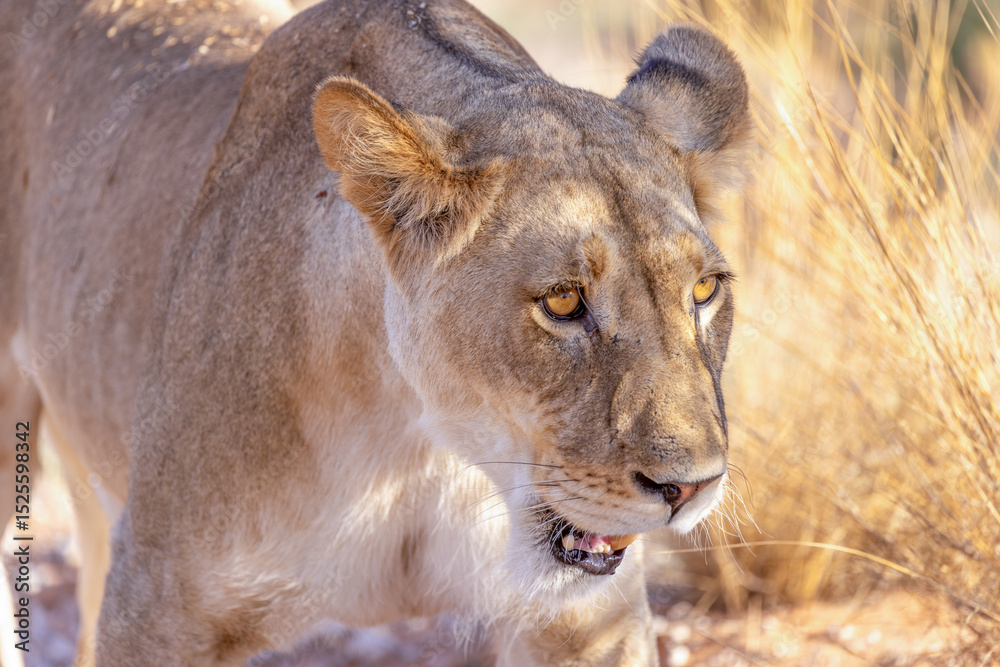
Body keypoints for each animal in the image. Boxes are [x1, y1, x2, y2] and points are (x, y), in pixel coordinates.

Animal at [0, 0, 750, 664]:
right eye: (564, 301)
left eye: (704, 290)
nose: (691, 488)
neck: (420, 439)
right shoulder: (156, 604)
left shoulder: (587, 622)